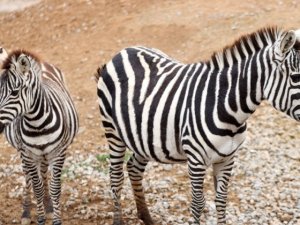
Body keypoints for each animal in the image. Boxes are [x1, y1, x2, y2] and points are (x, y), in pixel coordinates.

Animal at [0, 49, 78, 225]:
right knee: (28, 177)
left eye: (14, 92)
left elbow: (55, 188)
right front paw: (40, 218)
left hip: (45, 154)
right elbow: (37, 188)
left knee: (43, 173)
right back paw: (26, 212)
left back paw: (49, 207)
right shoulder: (28, 154)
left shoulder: (59, 153)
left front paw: (56, 219)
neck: (37, 124)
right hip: (25, 153)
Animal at [95, 26, 300, 225]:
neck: (228, 110)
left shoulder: (227, 158)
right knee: (115, 177)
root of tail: (123, 51)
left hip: (143, 137)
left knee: (134, 168)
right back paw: (118, 220)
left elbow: (221, 200)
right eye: (295, 78)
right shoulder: (196, 160)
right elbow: (198, 203)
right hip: (113, 131)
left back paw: (147, 218)